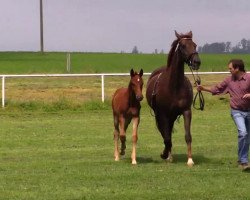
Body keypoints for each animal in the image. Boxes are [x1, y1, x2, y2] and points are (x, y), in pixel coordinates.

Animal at [146, 30, 201, 166]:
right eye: (183, 46)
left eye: (195, 45)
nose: (196, 62)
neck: (174, 86)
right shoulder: (163, 114)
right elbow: (166, 137)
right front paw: (164, 154)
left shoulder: (186, 111)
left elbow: (188, 136)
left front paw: (190, 160)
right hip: (161, 115)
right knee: (165, 133)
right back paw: (168, 155)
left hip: (172, 116)